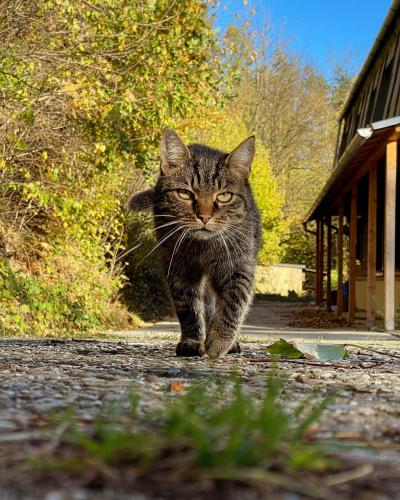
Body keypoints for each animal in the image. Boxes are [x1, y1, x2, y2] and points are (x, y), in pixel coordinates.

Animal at [131, 128, 260, 356]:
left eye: (224, 196)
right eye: (184, 193)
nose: (205, 216)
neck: (203, 248)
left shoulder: (238, 266)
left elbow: (234, 303)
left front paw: (220, 341)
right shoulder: (179, 269)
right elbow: (189, 308)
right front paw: (192, 341)